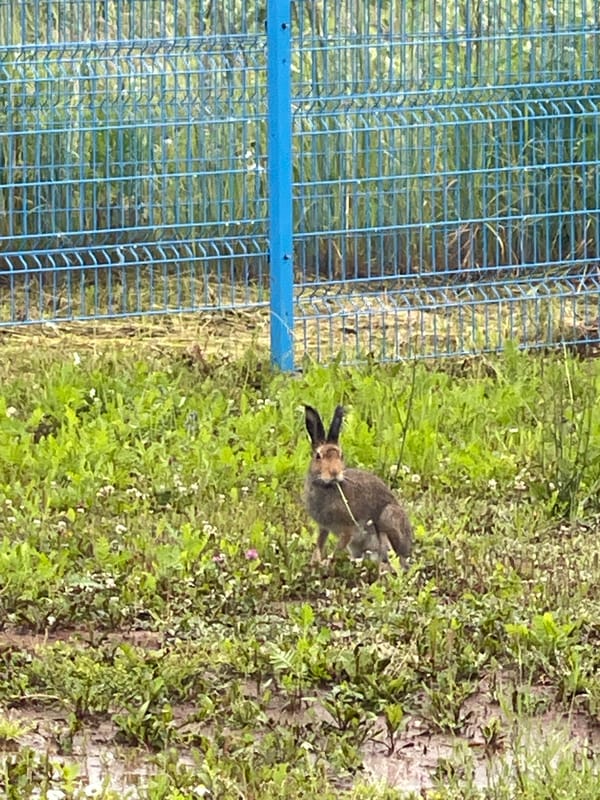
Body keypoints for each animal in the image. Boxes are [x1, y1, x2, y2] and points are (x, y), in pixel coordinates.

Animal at [303, 405, 413, 569]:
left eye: (341, 456)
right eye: (318, 456)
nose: (334, 472)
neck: (327, 486)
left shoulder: (348, 529)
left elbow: (338, 547)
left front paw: (326, 562)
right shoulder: (324, 527)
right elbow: (319, 544)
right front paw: (314, 562)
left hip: (388, 519)